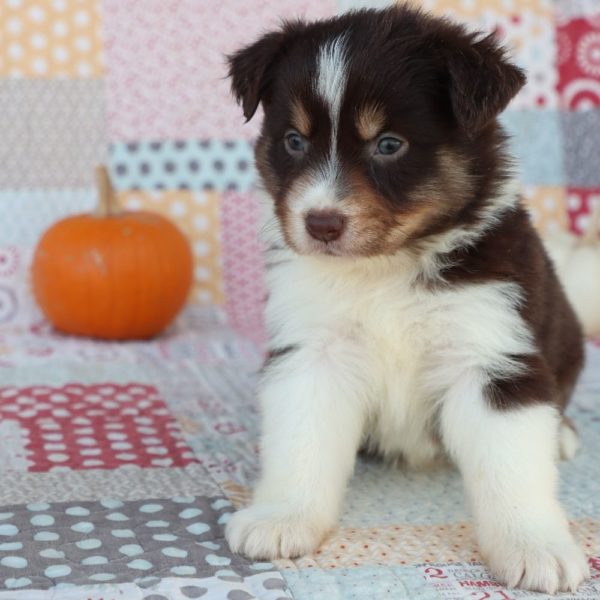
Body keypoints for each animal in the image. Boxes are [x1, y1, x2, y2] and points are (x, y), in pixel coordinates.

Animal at [223, 5, 588, 596]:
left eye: (389, 144)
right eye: (295, 141)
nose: (320, 224)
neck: (384, 269)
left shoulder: (491, 354)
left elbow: (512, 468)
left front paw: (537, 548)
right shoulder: (313, 353)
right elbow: (301, 443)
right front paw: (281, 518)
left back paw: (562, 435)